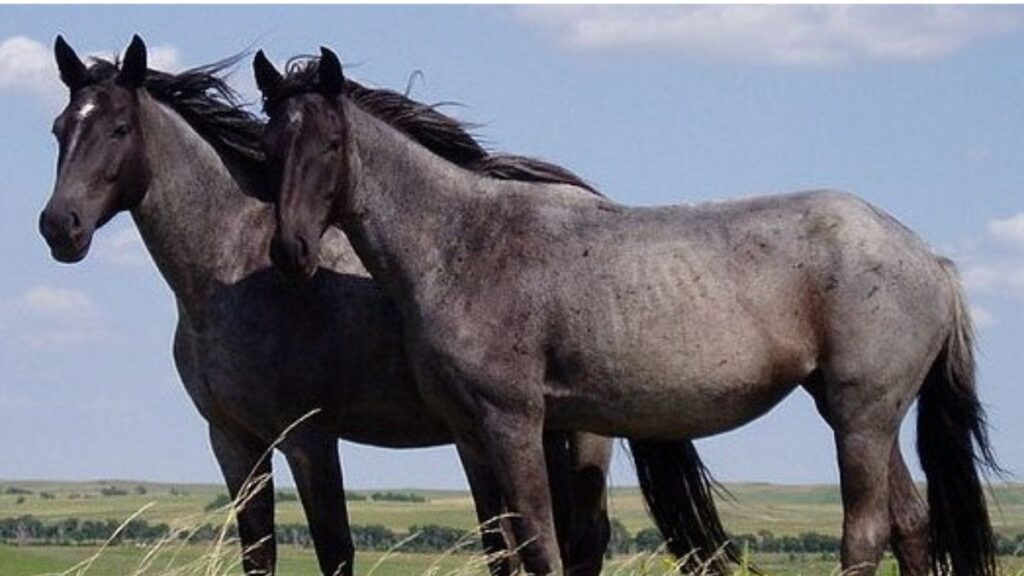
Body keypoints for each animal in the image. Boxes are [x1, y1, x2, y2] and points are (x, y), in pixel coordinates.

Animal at [38, 34, 618, 576]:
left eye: (119, 129)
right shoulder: (233, 441)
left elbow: (335, 548)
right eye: (59, 129)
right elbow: (258, 552)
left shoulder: (308, 438)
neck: (229, 273)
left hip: (582, 433)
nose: (59, 226)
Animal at [256, 47, 1001, 576]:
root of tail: (928, 257)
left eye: (329, 145)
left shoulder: (515, 424)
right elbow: (503, 547)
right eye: (270, 146)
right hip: (864, 415)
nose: (291, 251)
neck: (463, 243)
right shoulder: (469, 434)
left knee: (866, 534)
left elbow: (539, 545)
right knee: (911, 526)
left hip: (860, 419)